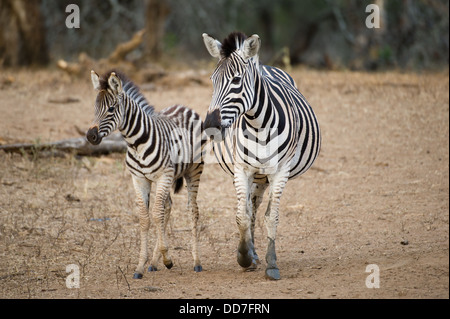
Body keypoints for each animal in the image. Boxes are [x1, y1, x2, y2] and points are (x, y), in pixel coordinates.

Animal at [85, 70, 204, 280]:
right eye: (95, 108)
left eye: (111, 109)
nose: (90, 137)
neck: (136, 143)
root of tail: (183, 106)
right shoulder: (139, 179)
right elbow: (145, 218)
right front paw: (142, 265)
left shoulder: (164, 175)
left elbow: (155, 215)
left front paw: (167, 259)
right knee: (167, 206)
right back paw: (154, 263)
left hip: (193, 171)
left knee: (192, 210)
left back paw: (196, 262)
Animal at [202, 32, 322, 282]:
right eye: (212, 80)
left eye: (236, 81)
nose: (210, 127)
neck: (258, 126)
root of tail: (264, 65)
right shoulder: (241, 169)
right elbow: (242, 214)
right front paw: (244, 256)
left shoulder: (280, 171)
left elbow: (271, 216)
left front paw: (271, 264)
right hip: (252, 174)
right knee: (250, 206)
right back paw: (252, 253)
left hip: (264, 176)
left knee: (257, 206)